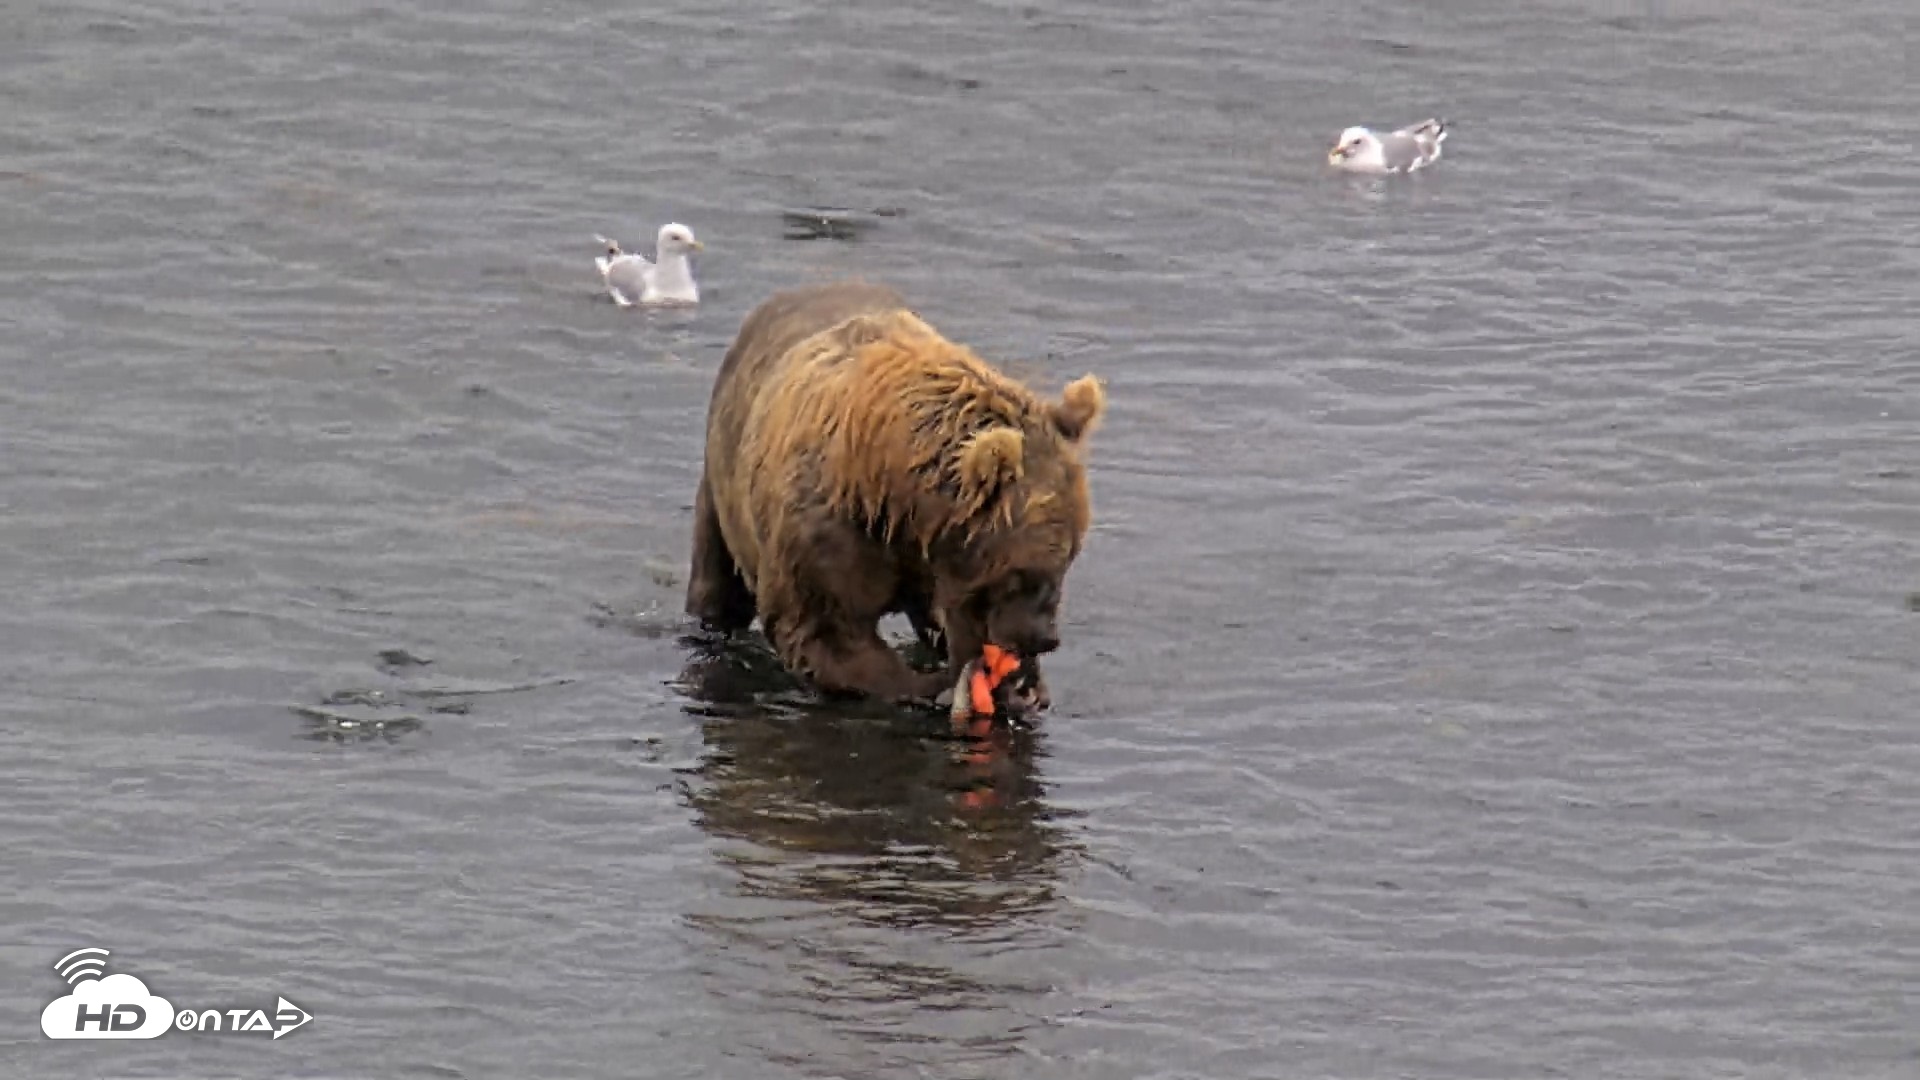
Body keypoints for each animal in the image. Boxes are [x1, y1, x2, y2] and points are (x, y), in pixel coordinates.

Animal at [685, 281, 1107, 710]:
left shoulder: (938, 568)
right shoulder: (826, 534)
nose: (1045, 638)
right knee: (717, 576)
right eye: (1022, 572)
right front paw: (934, 685)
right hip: (722, 473)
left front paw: (1019, 685)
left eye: (1068, 559)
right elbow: (823, 630)